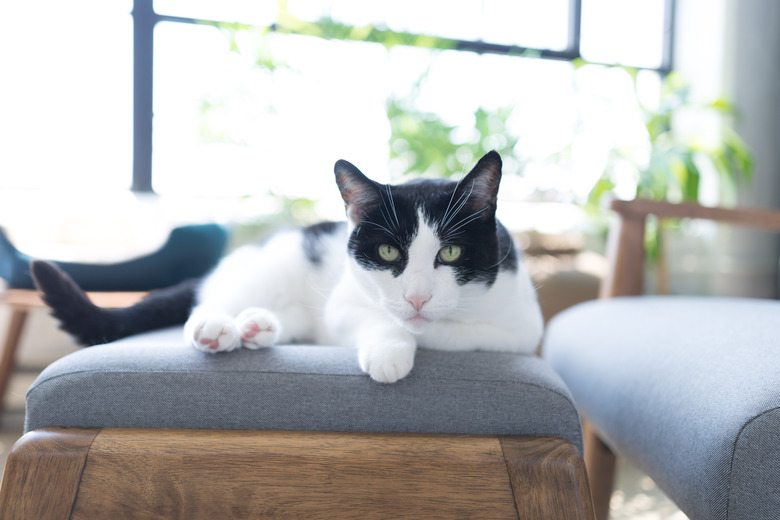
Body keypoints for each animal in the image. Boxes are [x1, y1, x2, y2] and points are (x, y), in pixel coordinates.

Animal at [32, 150, 544, 382]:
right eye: (387, 253)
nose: (417, 297)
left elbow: (451, 330)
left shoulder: (521, 328)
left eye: (451, 254)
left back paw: (256, 328)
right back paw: (218, 328)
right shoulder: (343, 304)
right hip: (265, 269)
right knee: (207, 303)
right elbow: (379, 318)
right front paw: (389, 349)